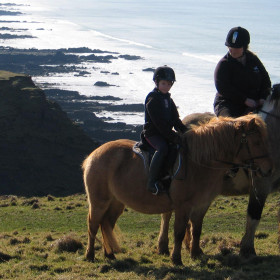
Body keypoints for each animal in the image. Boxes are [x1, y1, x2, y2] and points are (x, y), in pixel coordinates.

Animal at [82, 113, 272, 264]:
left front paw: (195, 254)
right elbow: (180, 232)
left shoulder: (202, 205)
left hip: (116, 203)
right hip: (99, 202)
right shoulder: (183, 206)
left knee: (106, 224)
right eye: (256, 142)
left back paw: (109, 254)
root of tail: (92, 156)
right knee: (93, 224)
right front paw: (177, 259)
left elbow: (196, 230)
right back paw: (90, 256)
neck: (198, 162)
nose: (268, 169)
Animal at [158, 85, 280, 258]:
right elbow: (253, 216)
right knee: (167, 214)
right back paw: (163, 246)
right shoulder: (260, 186)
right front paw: (247, 249)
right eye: (257, 142)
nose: (269, 168)